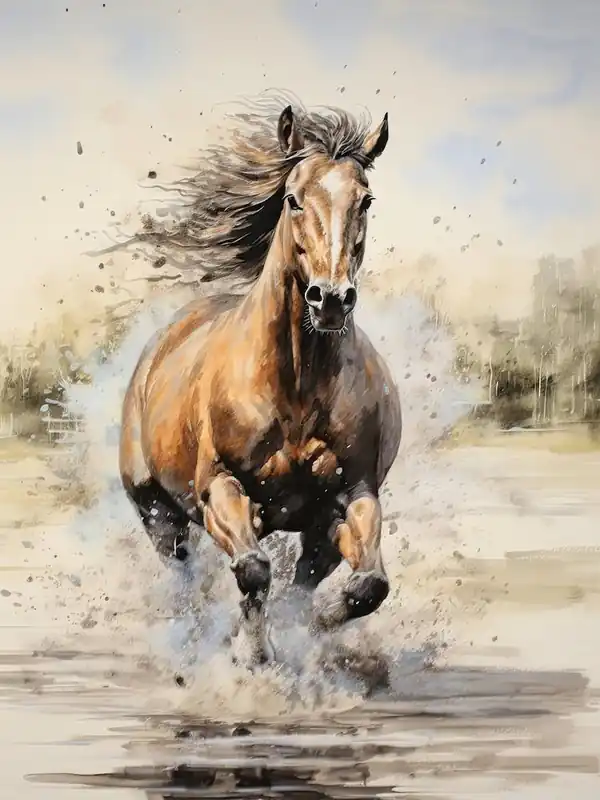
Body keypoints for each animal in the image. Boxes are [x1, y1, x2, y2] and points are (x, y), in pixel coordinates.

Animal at [119, 96, 402, 665]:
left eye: (365, 200)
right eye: (293, 199)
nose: (330, 298)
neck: (296, 389)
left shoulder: (348, 500)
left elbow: (367, 586)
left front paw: (313, 625)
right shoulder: (221, 490)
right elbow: (252, 570)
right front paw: (253, 654)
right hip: (158, 513)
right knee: (186, 577)